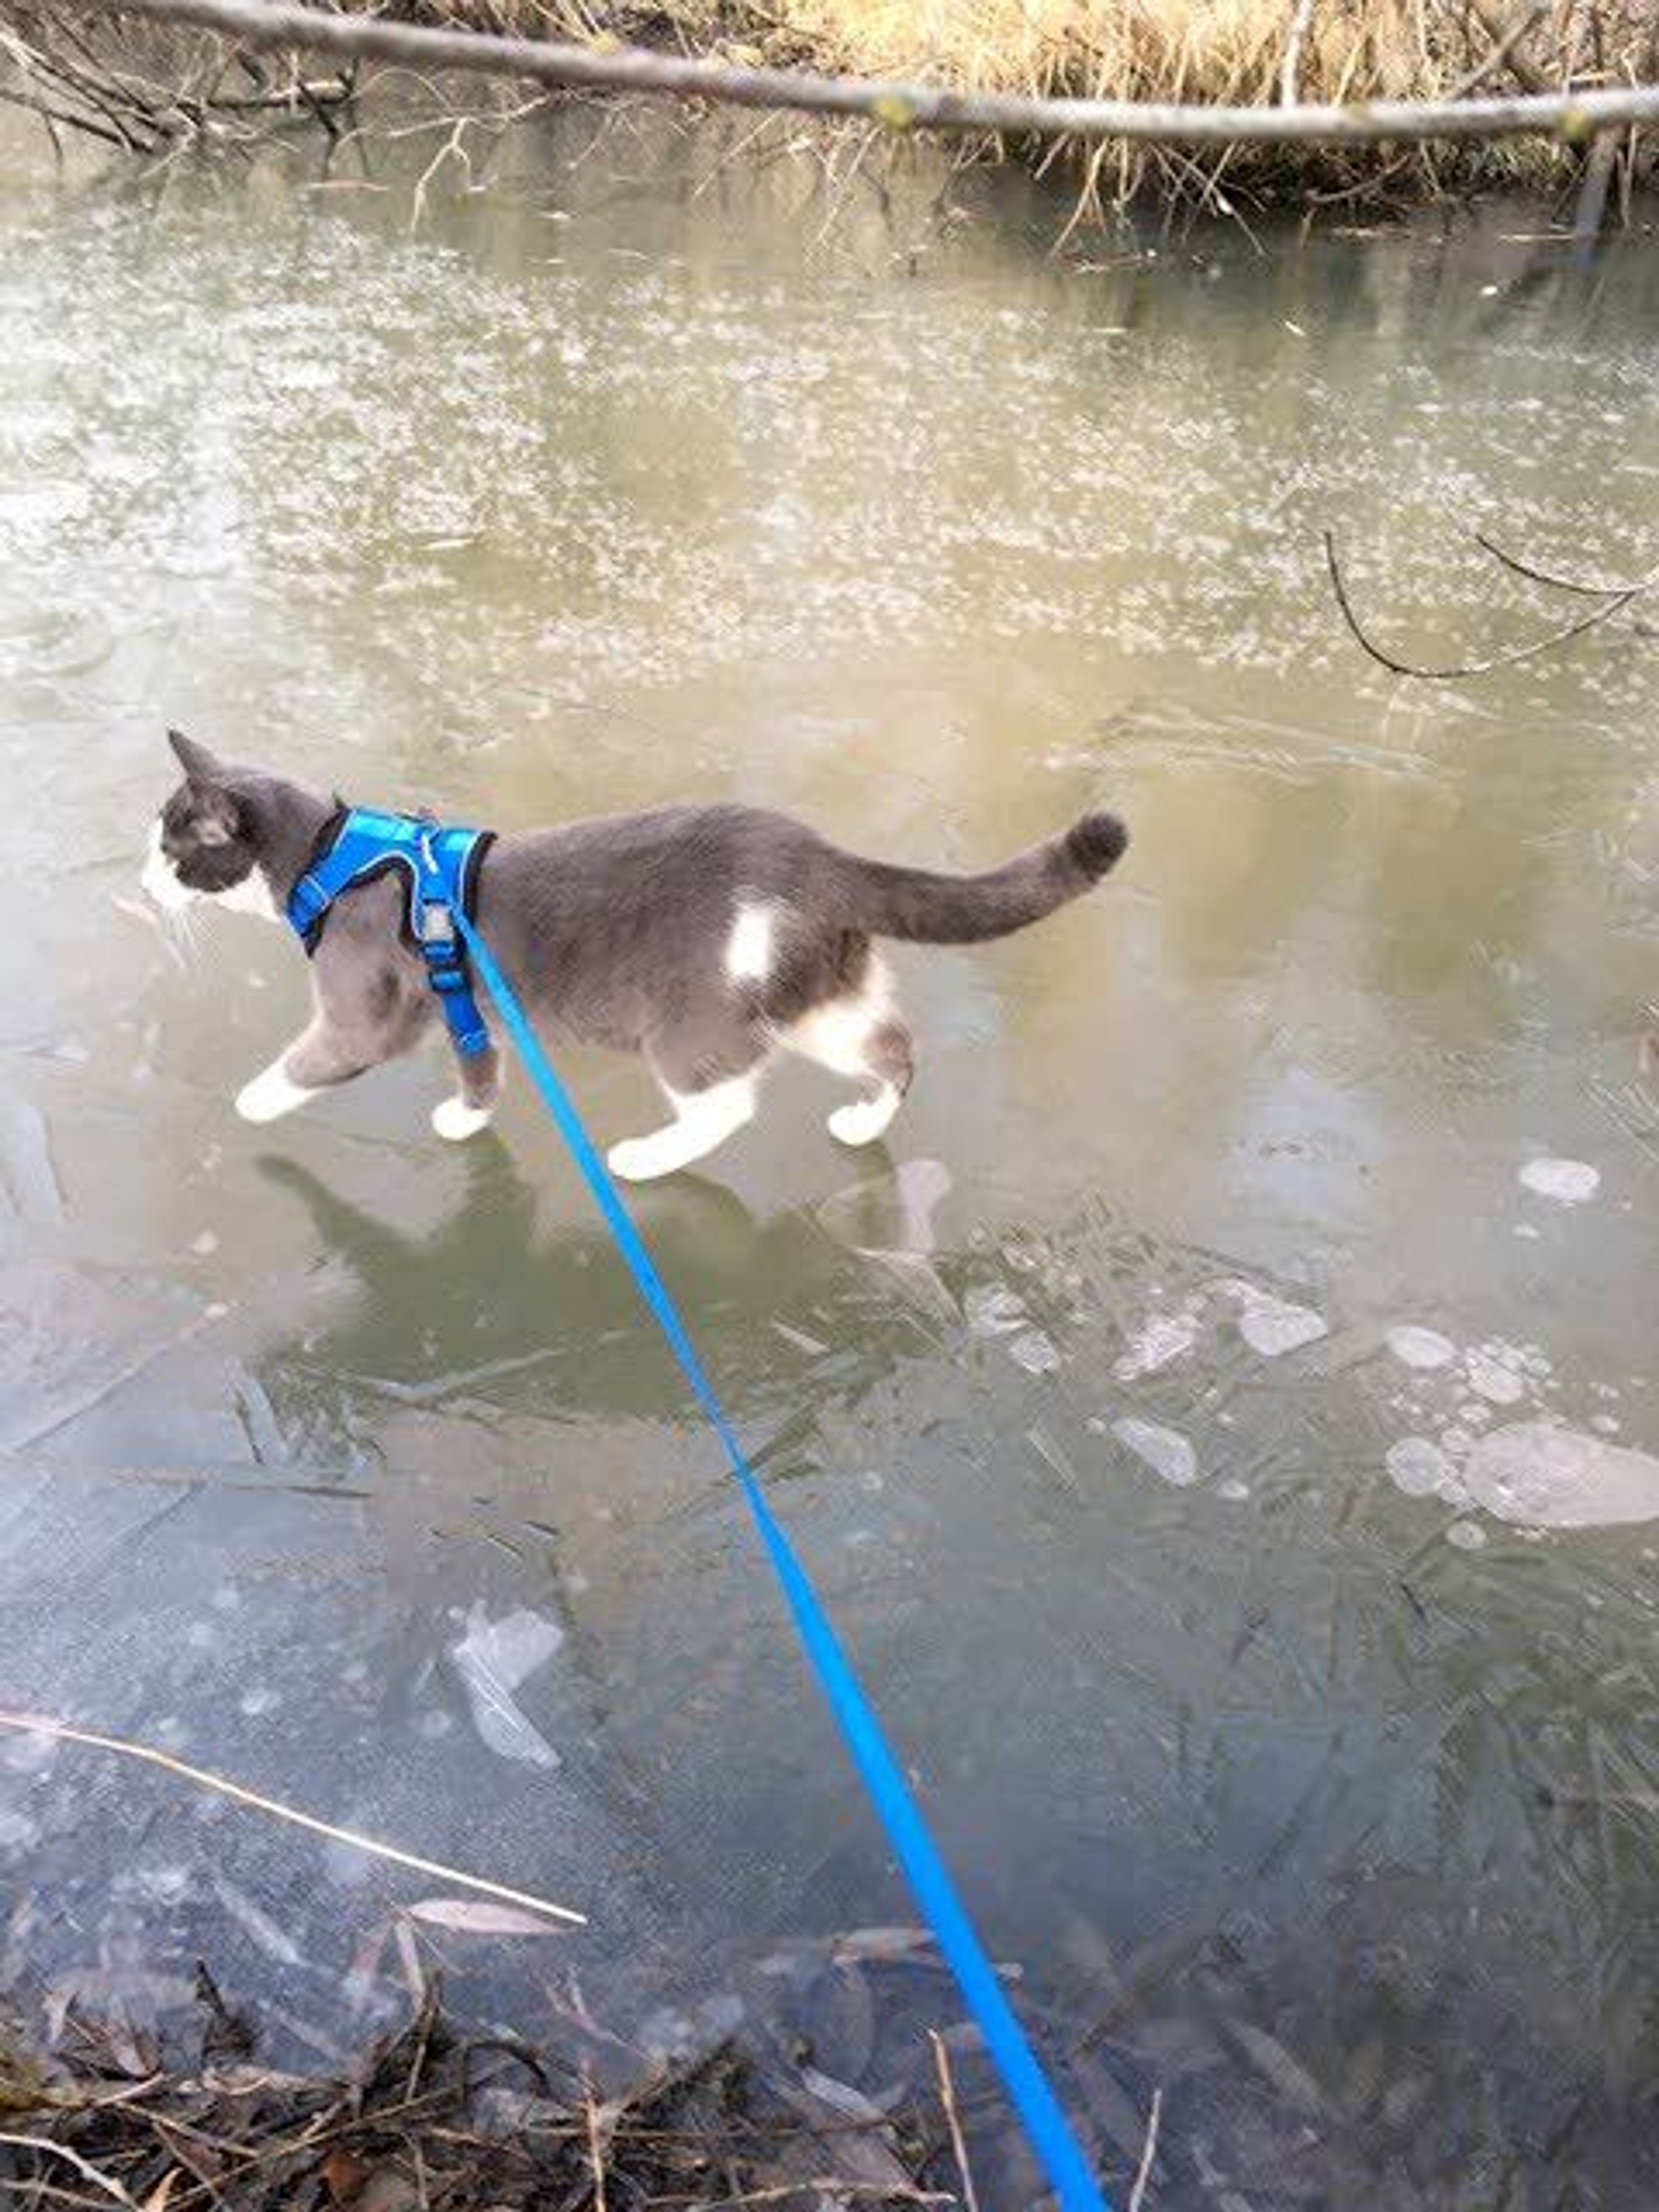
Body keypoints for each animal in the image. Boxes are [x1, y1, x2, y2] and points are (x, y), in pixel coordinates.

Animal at [146, 730, 1132, 1185]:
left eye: (173, 850)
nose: (140, 883)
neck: (327, 855)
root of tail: (815, 857)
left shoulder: (366, 1014)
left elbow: (308, 1060)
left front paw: (247, 1104)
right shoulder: (463, 1003)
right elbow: (479, 1066)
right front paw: (465, 1120)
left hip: (692, 1023)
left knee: (727, 1104)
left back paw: (646, 1160)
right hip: (815, 994)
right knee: (893, 1046)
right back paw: (862, 1125)